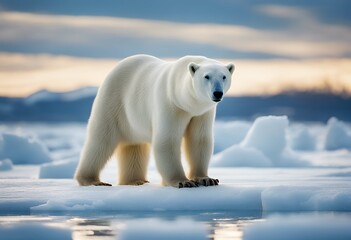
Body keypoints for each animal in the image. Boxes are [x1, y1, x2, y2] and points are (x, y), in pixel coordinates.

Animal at [74, 55, 235, 188]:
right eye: (206, 76)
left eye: (224, 76)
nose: (217, 93)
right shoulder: (170, 104)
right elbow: (167, 140)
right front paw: (182, 181)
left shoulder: (202, 113)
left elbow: (199, 140)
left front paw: (207, 179)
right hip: (113, 101)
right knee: (101, 140)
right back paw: (92, 180)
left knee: (134, 146)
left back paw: (135, 180)